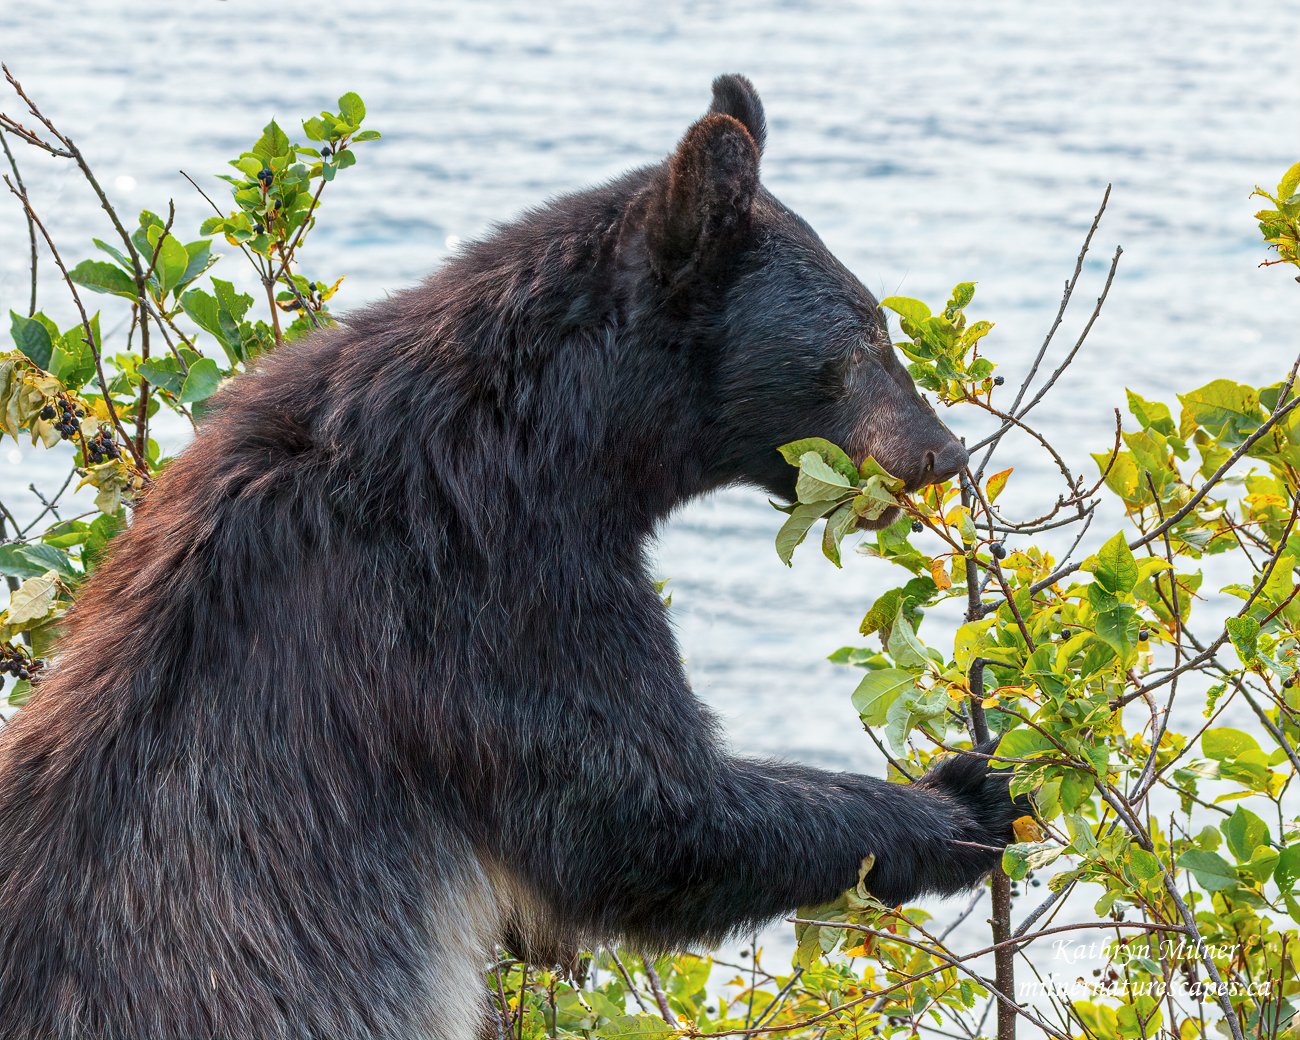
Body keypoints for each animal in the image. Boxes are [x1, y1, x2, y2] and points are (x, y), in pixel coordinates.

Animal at [0, 79, 1013, 1040]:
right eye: (868, 337)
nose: (948, 450)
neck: (553, 437)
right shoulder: (490, 587)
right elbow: (640, 811)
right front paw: (959, 802)